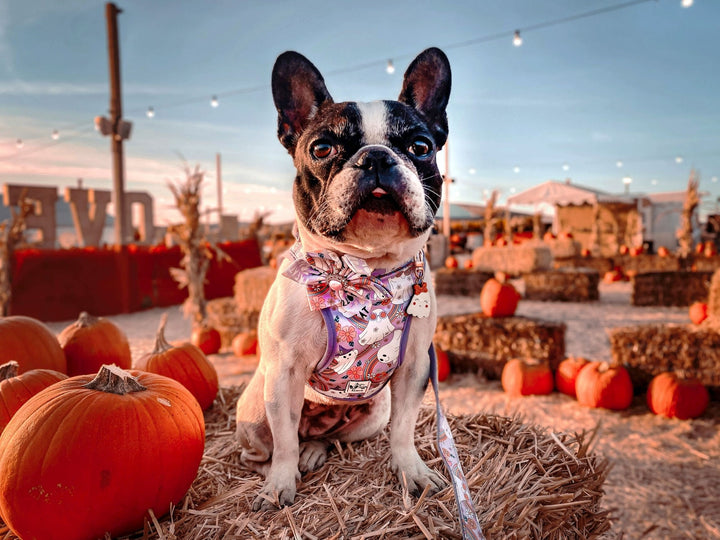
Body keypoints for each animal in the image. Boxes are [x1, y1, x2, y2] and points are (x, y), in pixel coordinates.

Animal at [236, 46, 450, 510]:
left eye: (420, 146)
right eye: (322, 148)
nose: (376, 157)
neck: (364, 272)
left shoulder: (413, 368)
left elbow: (404, 430)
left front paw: (411, 471)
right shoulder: (283, 375)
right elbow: (284, 444)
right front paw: (280, 486)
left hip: (372, 413)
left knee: (327, 438)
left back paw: (316, 449)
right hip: (255, 411)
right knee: (273, 445)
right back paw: (277, 470)